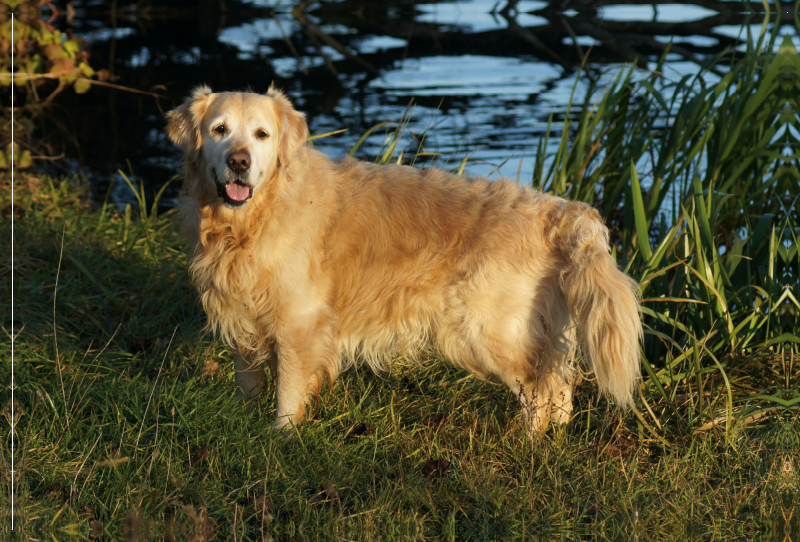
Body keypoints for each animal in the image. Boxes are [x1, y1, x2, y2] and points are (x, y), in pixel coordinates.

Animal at [167, 86, 644, 442]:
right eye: (220, 129)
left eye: (262, 134)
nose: (239, 161)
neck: (250, 221)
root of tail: (558, 210)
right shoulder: (243, 311)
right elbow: (247, 379)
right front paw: (239, 421)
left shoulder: (298, 323)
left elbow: (288, 392)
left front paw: (281, 440)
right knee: (560, 386)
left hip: (487, 329)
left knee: (541, 389)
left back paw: (526, 446)